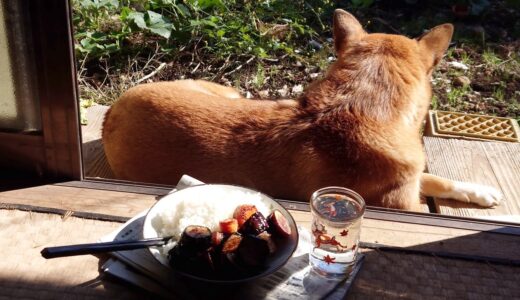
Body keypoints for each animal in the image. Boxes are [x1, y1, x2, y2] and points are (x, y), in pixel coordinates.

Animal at [101, 8, 500, 211]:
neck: (358, 106)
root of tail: (112, 112)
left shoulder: (413, 179)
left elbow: (436, 179)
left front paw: (478, 191)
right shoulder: (402, 200)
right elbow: (424, 185)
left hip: (231, 94)